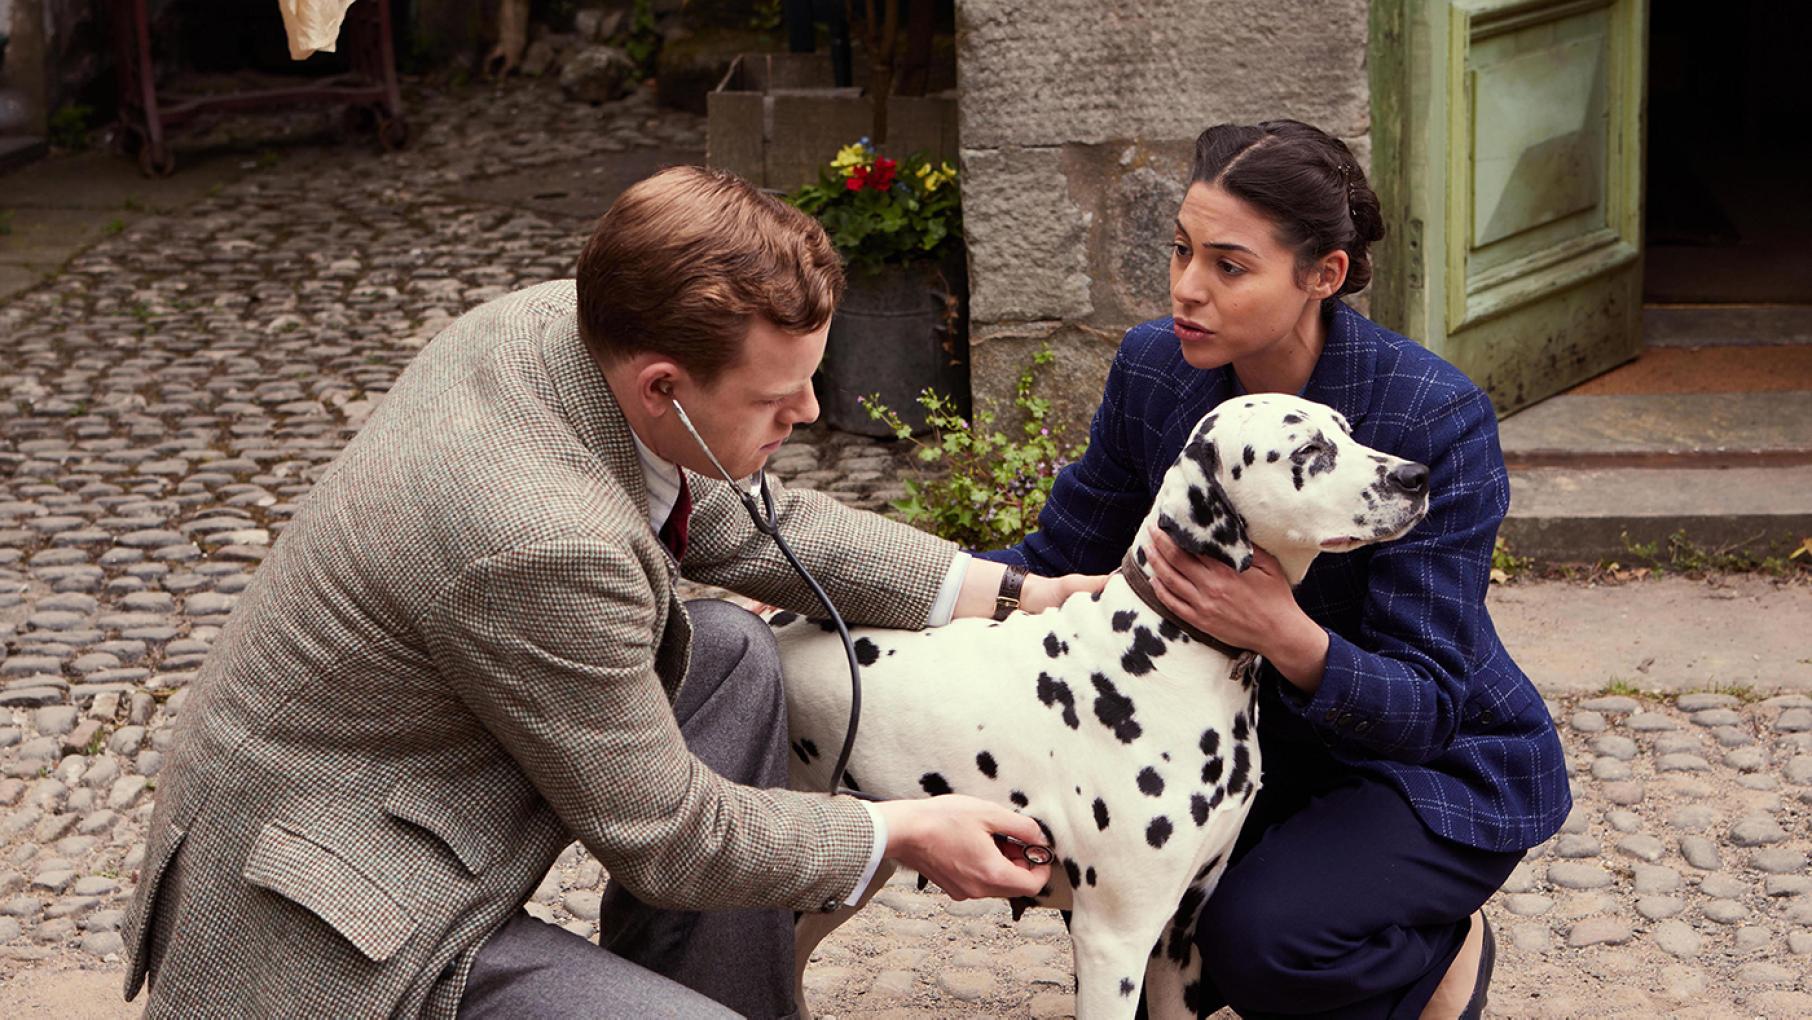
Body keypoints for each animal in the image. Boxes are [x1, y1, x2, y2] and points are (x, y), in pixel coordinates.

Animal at [771, 393, 1420, 1020]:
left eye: (1347, 430)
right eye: (1307, 449)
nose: (1417, 476)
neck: (1164, 653)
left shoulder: (1179, 936)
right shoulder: (1115, 941)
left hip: (853, 867)